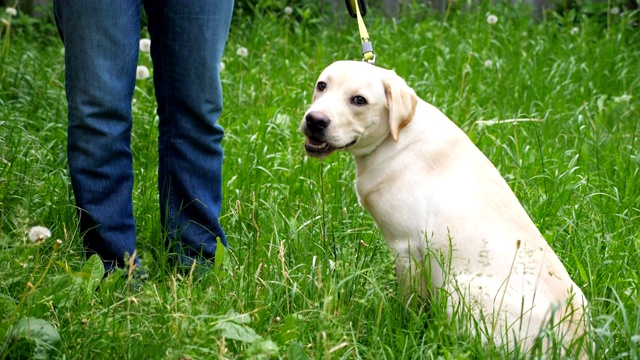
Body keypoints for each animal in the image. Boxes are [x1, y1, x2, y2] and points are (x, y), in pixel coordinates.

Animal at [300, 61, 592, 354]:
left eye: (359, 100)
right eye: (322, 85)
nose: (315, 120)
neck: (398, 136)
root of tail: (575, 343)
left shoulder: (406, 247)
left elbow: (411, 302)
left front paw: (404, 327)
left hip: (458, 289)